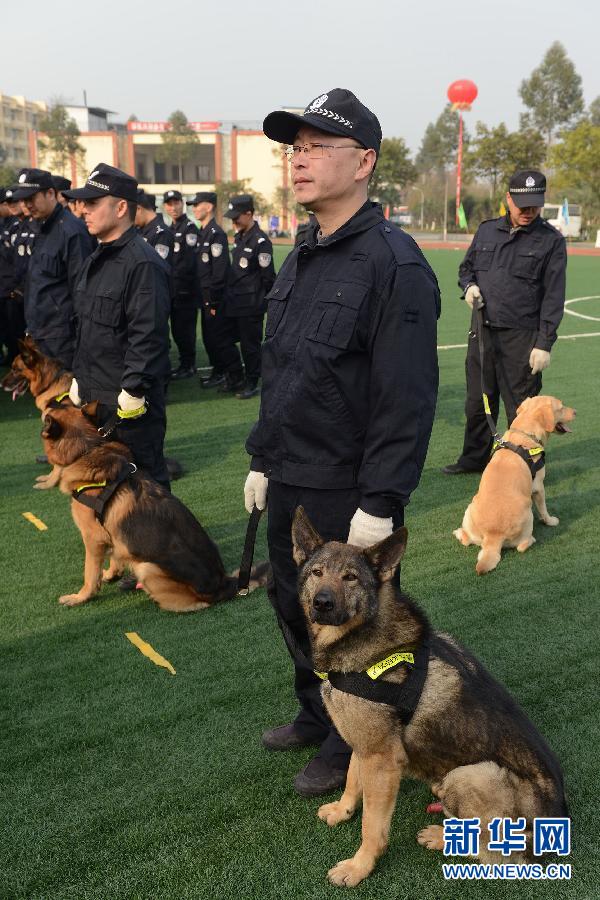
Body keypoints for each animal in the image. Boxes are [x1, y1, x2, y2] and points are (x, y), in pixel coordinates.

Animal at [454, 396, 576, 576]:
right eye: (561, 408)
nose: (575, 412)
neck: (525, 434)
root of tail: (493, 537)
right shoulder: (538, 486)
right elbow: (543, 509)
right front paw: (550, 520)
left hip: (469, 508)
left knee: (466, 539)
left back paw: (458, 532)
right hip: (527, 511)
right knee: (521, 546)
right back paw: (531, 539)